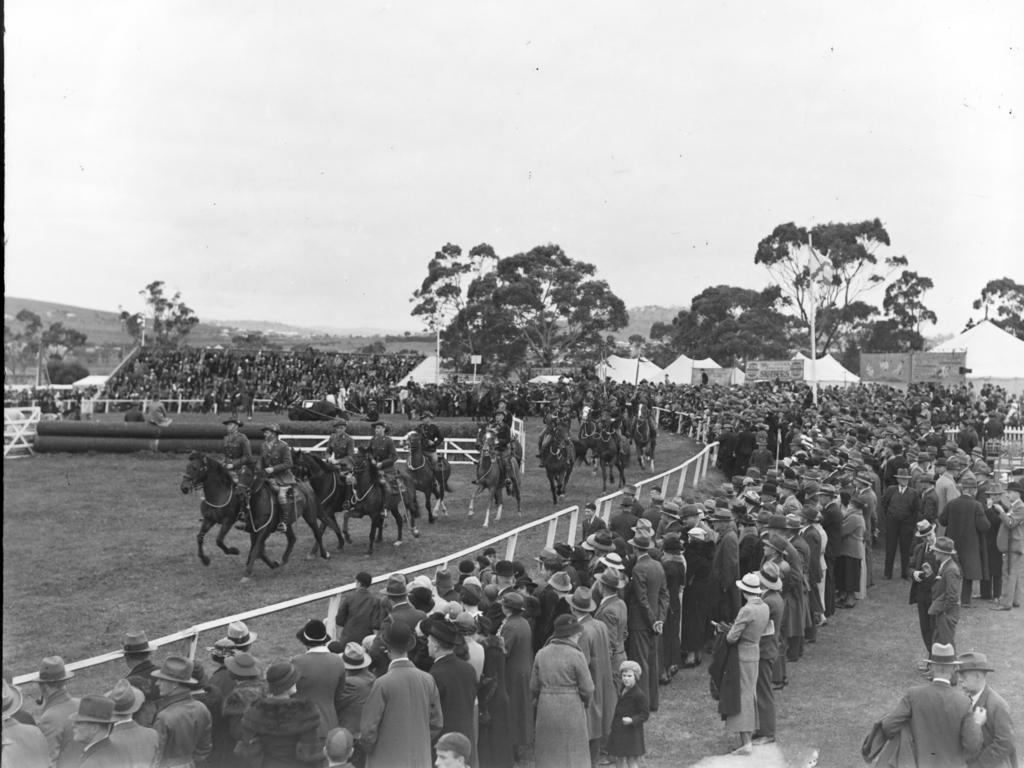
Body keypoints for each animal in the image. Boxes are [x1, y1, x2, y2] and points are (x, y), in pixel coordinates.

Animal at [181, 450, 327, 581]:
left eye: (195, 468)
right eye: (187, 467)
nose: (184, 488)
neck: (219, 494)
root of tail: (303, 485)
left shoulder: (230, 521)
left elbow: (220, 540)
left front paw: (235, 552)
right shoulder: (209, 519)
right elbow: (200, 537)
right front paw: (205, 559)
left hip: (310, 516)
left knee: (317, 533)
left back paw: (323, 554)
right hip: (286, 523)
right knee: (292, 538)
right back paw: (283, 561)